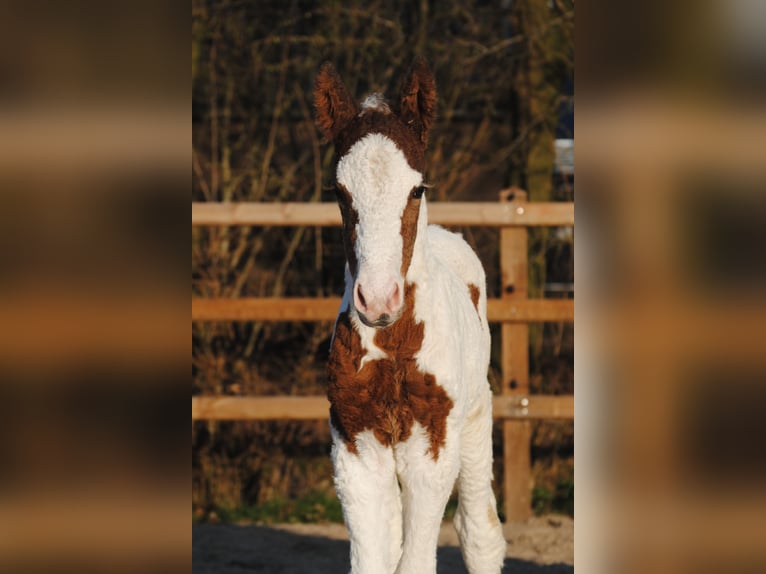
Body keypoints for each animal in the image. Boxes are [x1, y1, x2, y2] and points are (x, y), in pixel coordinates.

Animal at [315, 57, 506, 574]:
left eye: (417, 188)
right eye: (339, 192)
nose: (378, 301)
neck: (394, 345)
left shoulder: (433, 446)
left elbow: (417, 560)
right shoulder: (356, 445)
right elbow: (375, 559)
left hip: (475, 421)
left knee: (479, 532)